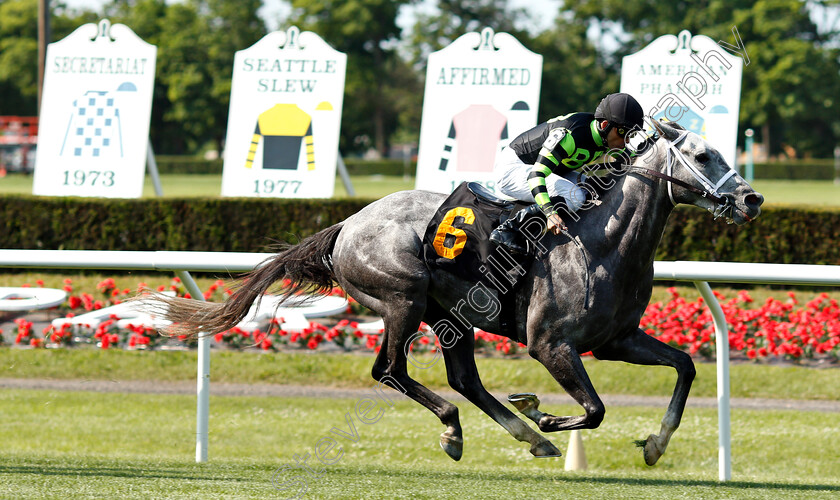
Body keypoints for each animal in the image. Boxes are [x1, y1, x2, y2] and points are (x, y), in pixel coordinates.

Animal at [151, 120, 760, 464]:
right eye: (703, 156)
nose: (751, 199)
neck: (603, 243)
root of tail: (347, 225)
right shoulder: (551, 344)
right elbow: (593, 410)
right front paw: (545, 414)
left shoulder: (616, 340)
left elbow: (685, 367)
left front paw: (655, 444)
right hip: (404, 297)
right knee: (391, 370)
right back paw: (462, 428)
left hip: (453, 315)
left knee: (464, 378)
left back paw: (523, 435)